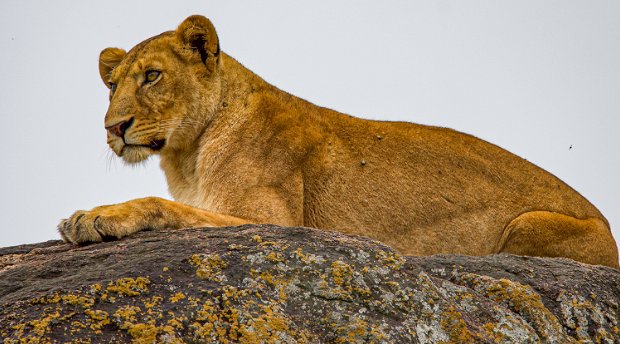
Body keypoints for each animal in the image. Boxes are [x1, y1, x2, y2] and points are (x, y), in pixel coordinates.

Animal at [57, 14, 616, 268]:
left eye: (152, 76)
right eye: (112, 85)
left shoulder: (273, 220)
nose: (113, 127)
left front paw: (92, 217)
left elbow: (162, 206)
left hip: (529, 224)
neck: (186, 155)